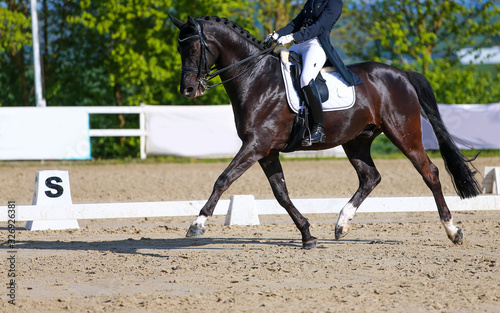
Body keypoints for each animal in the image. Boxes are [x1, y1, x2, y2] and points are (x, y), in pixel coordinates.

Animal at [170, 15, 482, 249]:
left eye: (195, 48)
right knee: (370, 177)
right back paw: (341, 224)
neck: (256, 77)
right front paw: (307, 235)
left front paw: (197, 224)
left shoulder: (256, 145)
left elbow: (223, 179)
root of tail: (401, 74)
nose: (188, 89)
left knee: (430, 173)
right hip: (356, 141)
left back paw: (453, 231)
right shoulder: (266, 151)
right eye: (179, 49)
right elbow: (281, 194)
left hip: (403, 133)